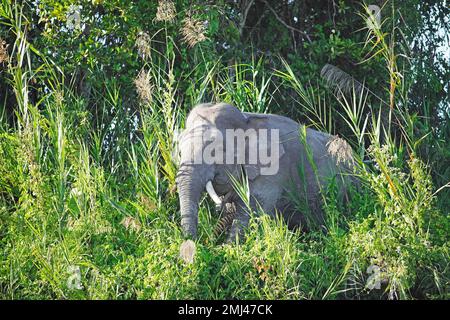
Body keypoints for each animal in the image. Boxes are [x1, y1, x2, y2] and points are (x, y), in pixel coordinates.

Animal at [176, 102, 356, 242]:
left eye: (217, 150)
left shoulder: (274, 171)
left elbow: (250, 213)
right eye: (179, 150)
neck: (247, 118)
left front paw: (227, 249)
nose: (199, 243)